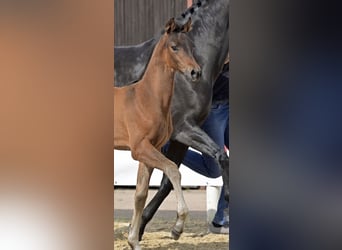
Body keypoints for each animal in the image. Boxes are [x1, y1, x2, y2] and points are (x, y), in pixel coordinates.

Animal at [113, 18, 202, 250]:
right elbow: (173, 170)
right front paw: (178, 226)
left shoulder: (150, 150)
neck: (147, 98)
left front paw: (133, 241)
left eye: (192, 47)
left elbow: (140, 194)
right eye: (174, 47)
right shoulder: (140, 148)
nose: (195, 72)